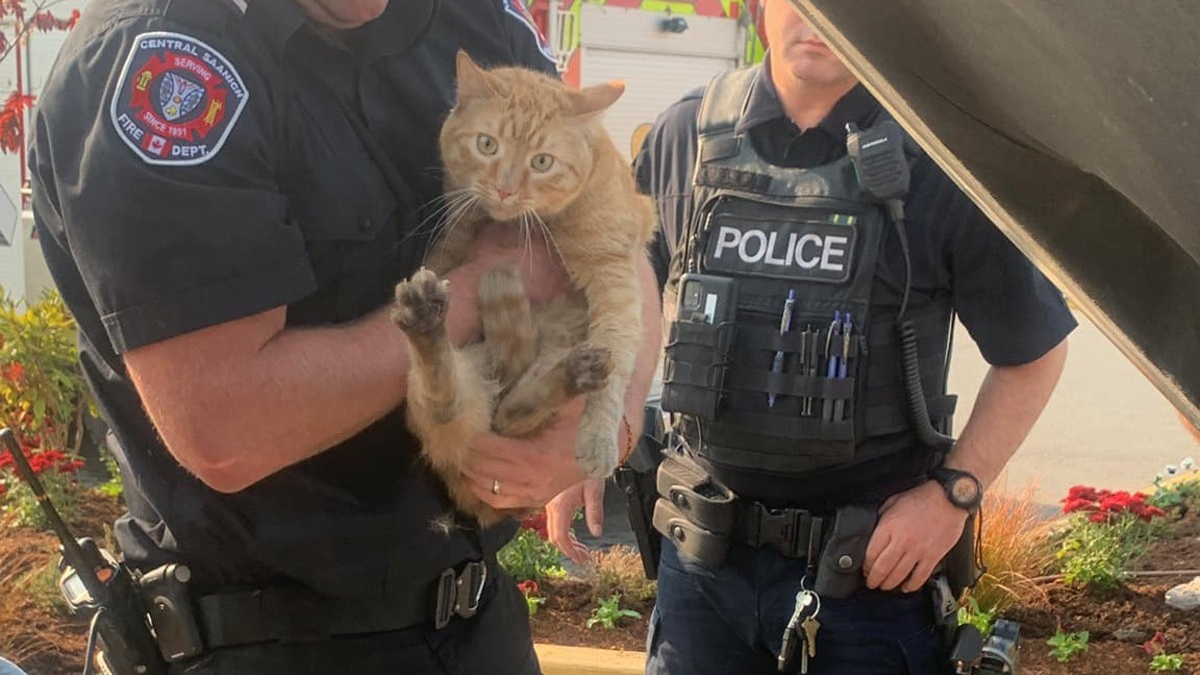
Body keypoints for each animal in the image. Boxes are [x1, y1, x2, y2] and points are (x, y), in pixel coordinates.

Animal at [391, 52, 657, 526]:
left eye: (542, 162)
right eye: (487, 145)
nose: (504, 189)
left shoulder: (615, 271)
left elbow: (617, 356)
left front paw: (598, 437)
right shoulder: (454, 229)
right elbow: (449, 247)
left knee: (509, 413)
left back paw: (574, 374)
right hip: (454, 383)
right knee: (454, 404)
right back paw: (425, 318)